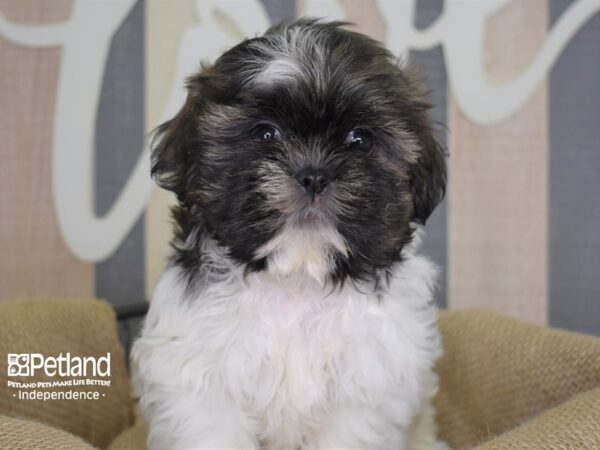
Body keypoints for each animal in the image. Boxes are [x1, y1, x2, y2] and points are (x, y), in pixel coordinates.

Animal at [134, 18, 448, 450]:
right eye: (266, 133)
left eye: (360, 139)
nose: (314, 174)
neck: (297, 278)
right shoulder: (197, 372)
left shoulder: (366, 384)